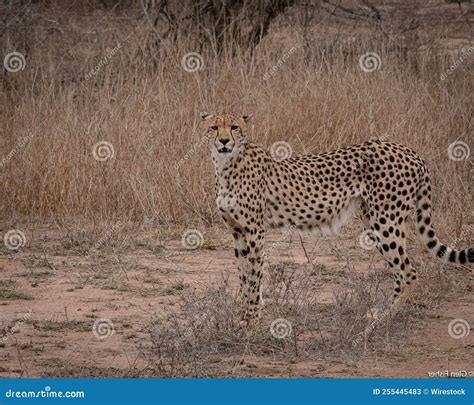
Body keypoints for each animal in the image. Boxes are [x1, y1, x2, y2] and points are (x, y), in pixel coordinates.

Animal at [202, 111, 474, 326]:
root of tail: (408, 150)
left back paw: (382, 319)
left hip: (386, 221)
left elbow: (254, 276)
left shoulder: (254, 231)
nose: (224, 141)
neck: (225, 165)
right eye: (214, 127)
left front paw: (251, 322)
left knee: (409, 272)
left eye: (234, 127)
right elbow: (243, 275)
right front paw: (243, 318)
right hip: (374, 218)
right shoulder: (238, 231)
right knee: (400, 272)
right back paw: (380, 313)